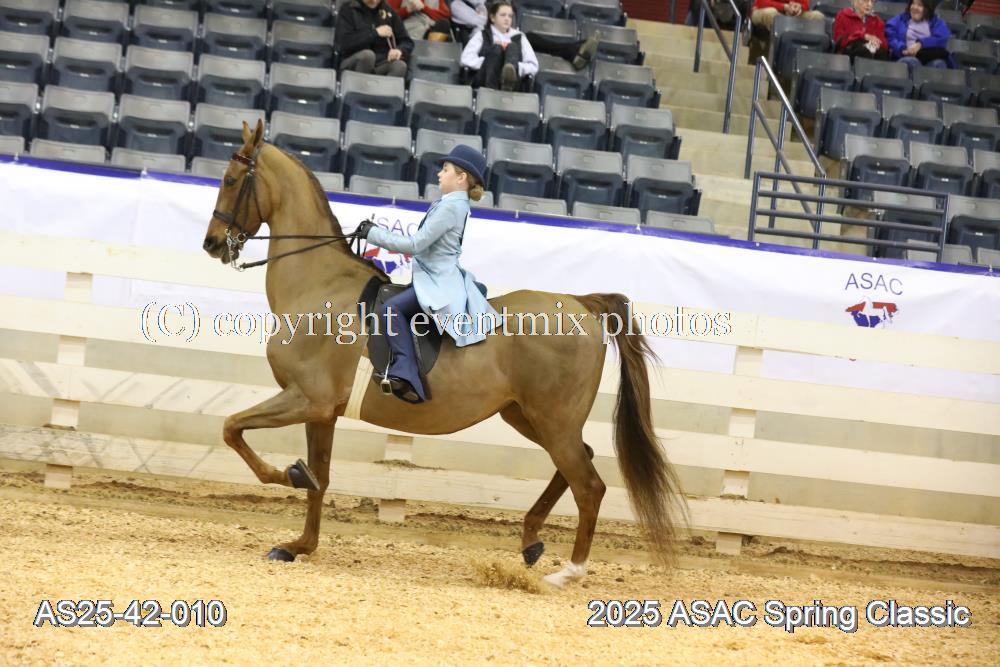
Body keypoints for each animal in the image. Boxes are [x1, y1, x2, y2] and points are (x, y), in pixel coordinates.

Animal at [200, 120, 685, 587]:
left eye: (230, 179)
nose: (212, 244)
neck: (318, 285)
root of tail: (582, 304)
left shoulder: (308, 399)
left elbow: (232, 429)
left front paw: (287, 476)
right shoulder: (322, 412)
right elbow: (320, 477)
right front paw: (299, 544)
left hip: (553, 420)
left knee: (588, 485)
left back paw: (569, 571)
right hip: (527, 416)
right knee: (575, 466)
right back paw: (531, 541)